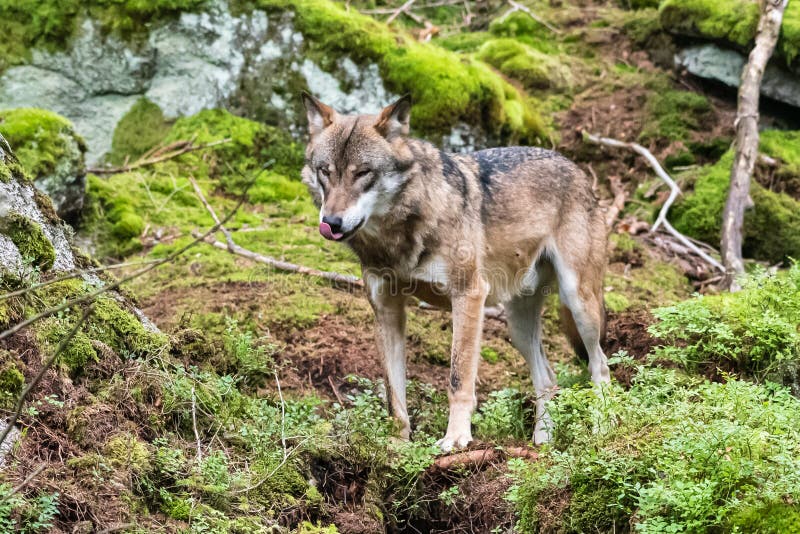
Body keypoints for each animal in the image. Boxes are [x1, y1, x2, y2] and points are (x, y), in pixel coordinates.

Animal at [298, 93, 608, 452]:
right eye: (325, 172)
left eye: (363, 173)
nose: (331, 223)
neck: (399, 236)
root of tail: (577, 169)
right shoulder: (387, 311)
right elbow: (394, 393)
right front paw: (398, 444)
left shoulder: (468, 295)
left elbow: (458, 380)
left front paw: (457, 438)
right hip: (517, 326)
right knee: (548, 378)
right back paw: (542, 441)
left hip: (577, 303)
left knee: (600, 365)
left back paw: (601, 430)